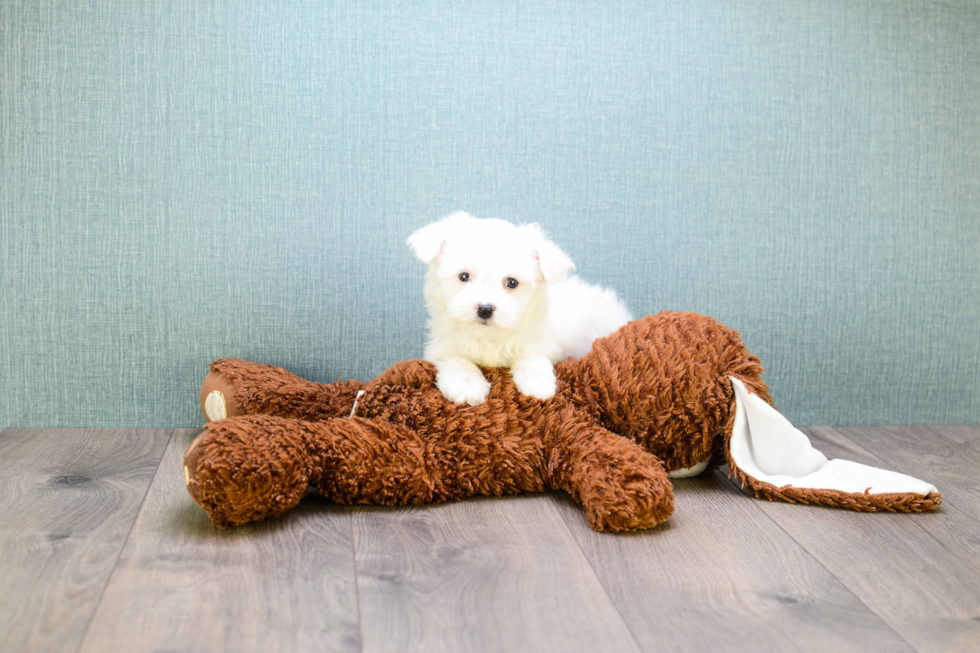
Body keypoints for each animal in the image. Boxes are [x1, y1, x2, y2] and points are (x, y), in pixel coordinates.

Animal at [408, 213, 632, 402]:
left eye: (512, 282)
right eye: (464, 276)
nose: (485, 309)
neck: (488, 337)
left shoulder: (538, 340)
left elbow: (531, 356)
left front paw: (537, 382)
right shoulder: (441, 346)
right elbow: (455, 359)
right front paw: (466, 385)